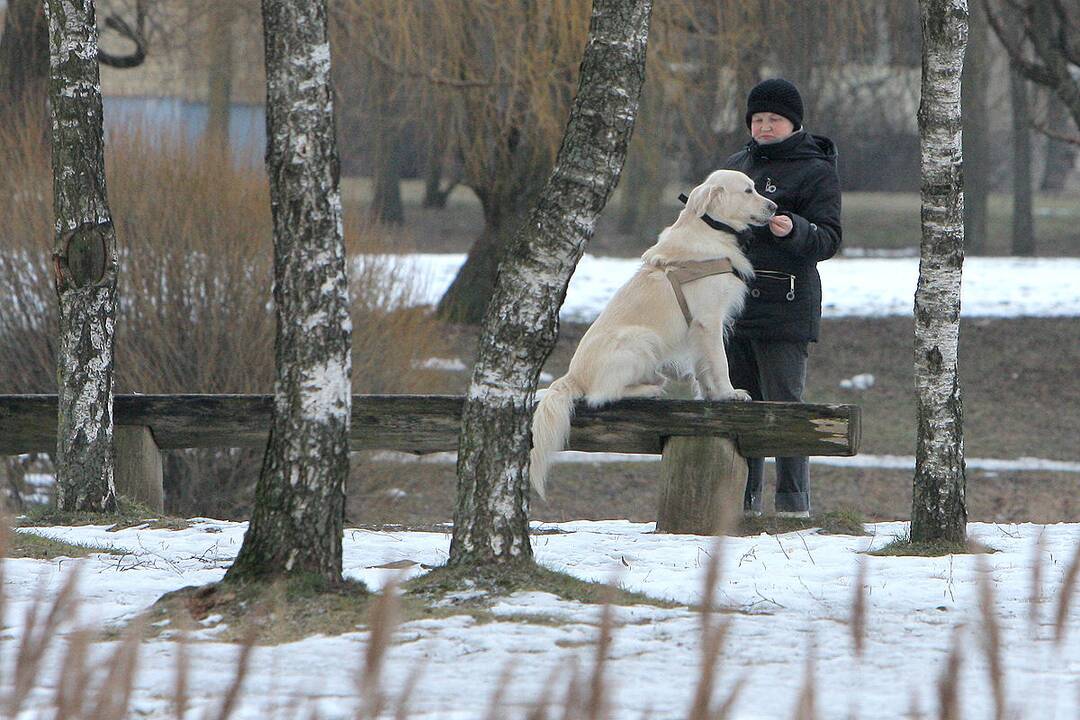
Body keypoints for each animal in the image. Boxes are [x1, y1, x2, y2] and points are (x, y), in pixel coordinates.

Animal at [529, 169, 777, 498]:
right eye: (749, 191)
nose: (775, 207)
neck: (710, 229)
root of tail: (572, 376)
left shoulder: (700, 329)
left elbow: (703, 368)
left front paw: (712, 395)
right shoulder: (708, 321)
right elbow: (720, 363)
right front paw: (729, 393)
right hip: (640, 339)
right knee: (601, 395)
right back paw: (650, 389)